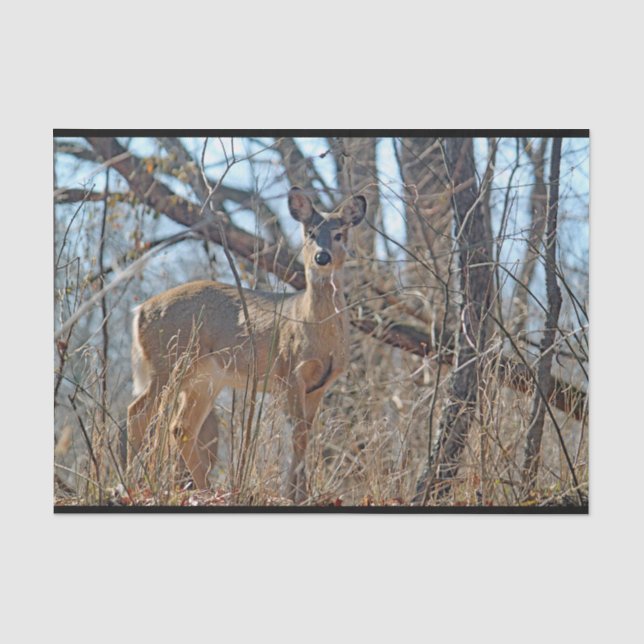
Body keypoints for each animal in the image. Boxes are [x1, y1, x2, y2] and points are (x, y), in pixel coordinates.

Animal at [126, 187, 367, 503]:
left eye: (339, 234)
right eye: (310, 232)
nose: (322, 257)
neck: (313, 327)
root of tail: (140, 310)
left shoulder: (320, 386)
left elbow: (304, 436)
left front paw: (301, 494)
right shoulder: (289, 372)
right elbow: (296, 436)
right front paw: (292, 495)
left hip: (205, 378)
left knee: (181, 427)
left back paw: (205, 489)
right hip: (168, 363)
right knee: (137, 413)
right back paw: (130, 481)